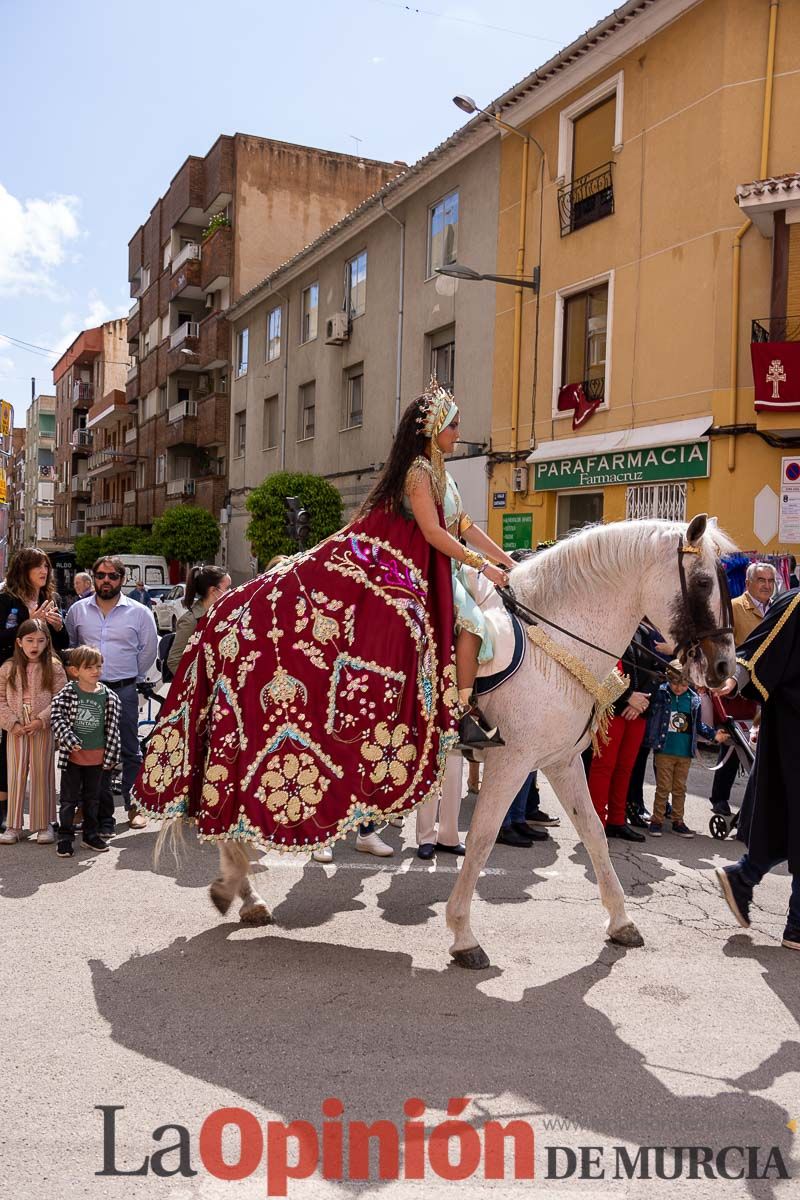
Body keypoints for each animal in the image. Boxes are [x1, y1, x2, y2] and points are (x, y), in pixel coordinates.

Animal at [189, 511, 738, 969]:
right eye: (704, 581)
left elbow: (595, 835)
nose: (725, 671)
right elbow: (482, 839)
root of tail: (223, 613)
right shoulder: (512, 762)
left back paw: (242, 894)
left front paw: (621, 922)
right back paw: (240, 889)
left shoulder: (560, 761)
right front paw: (463, 937)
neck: (557, 642)